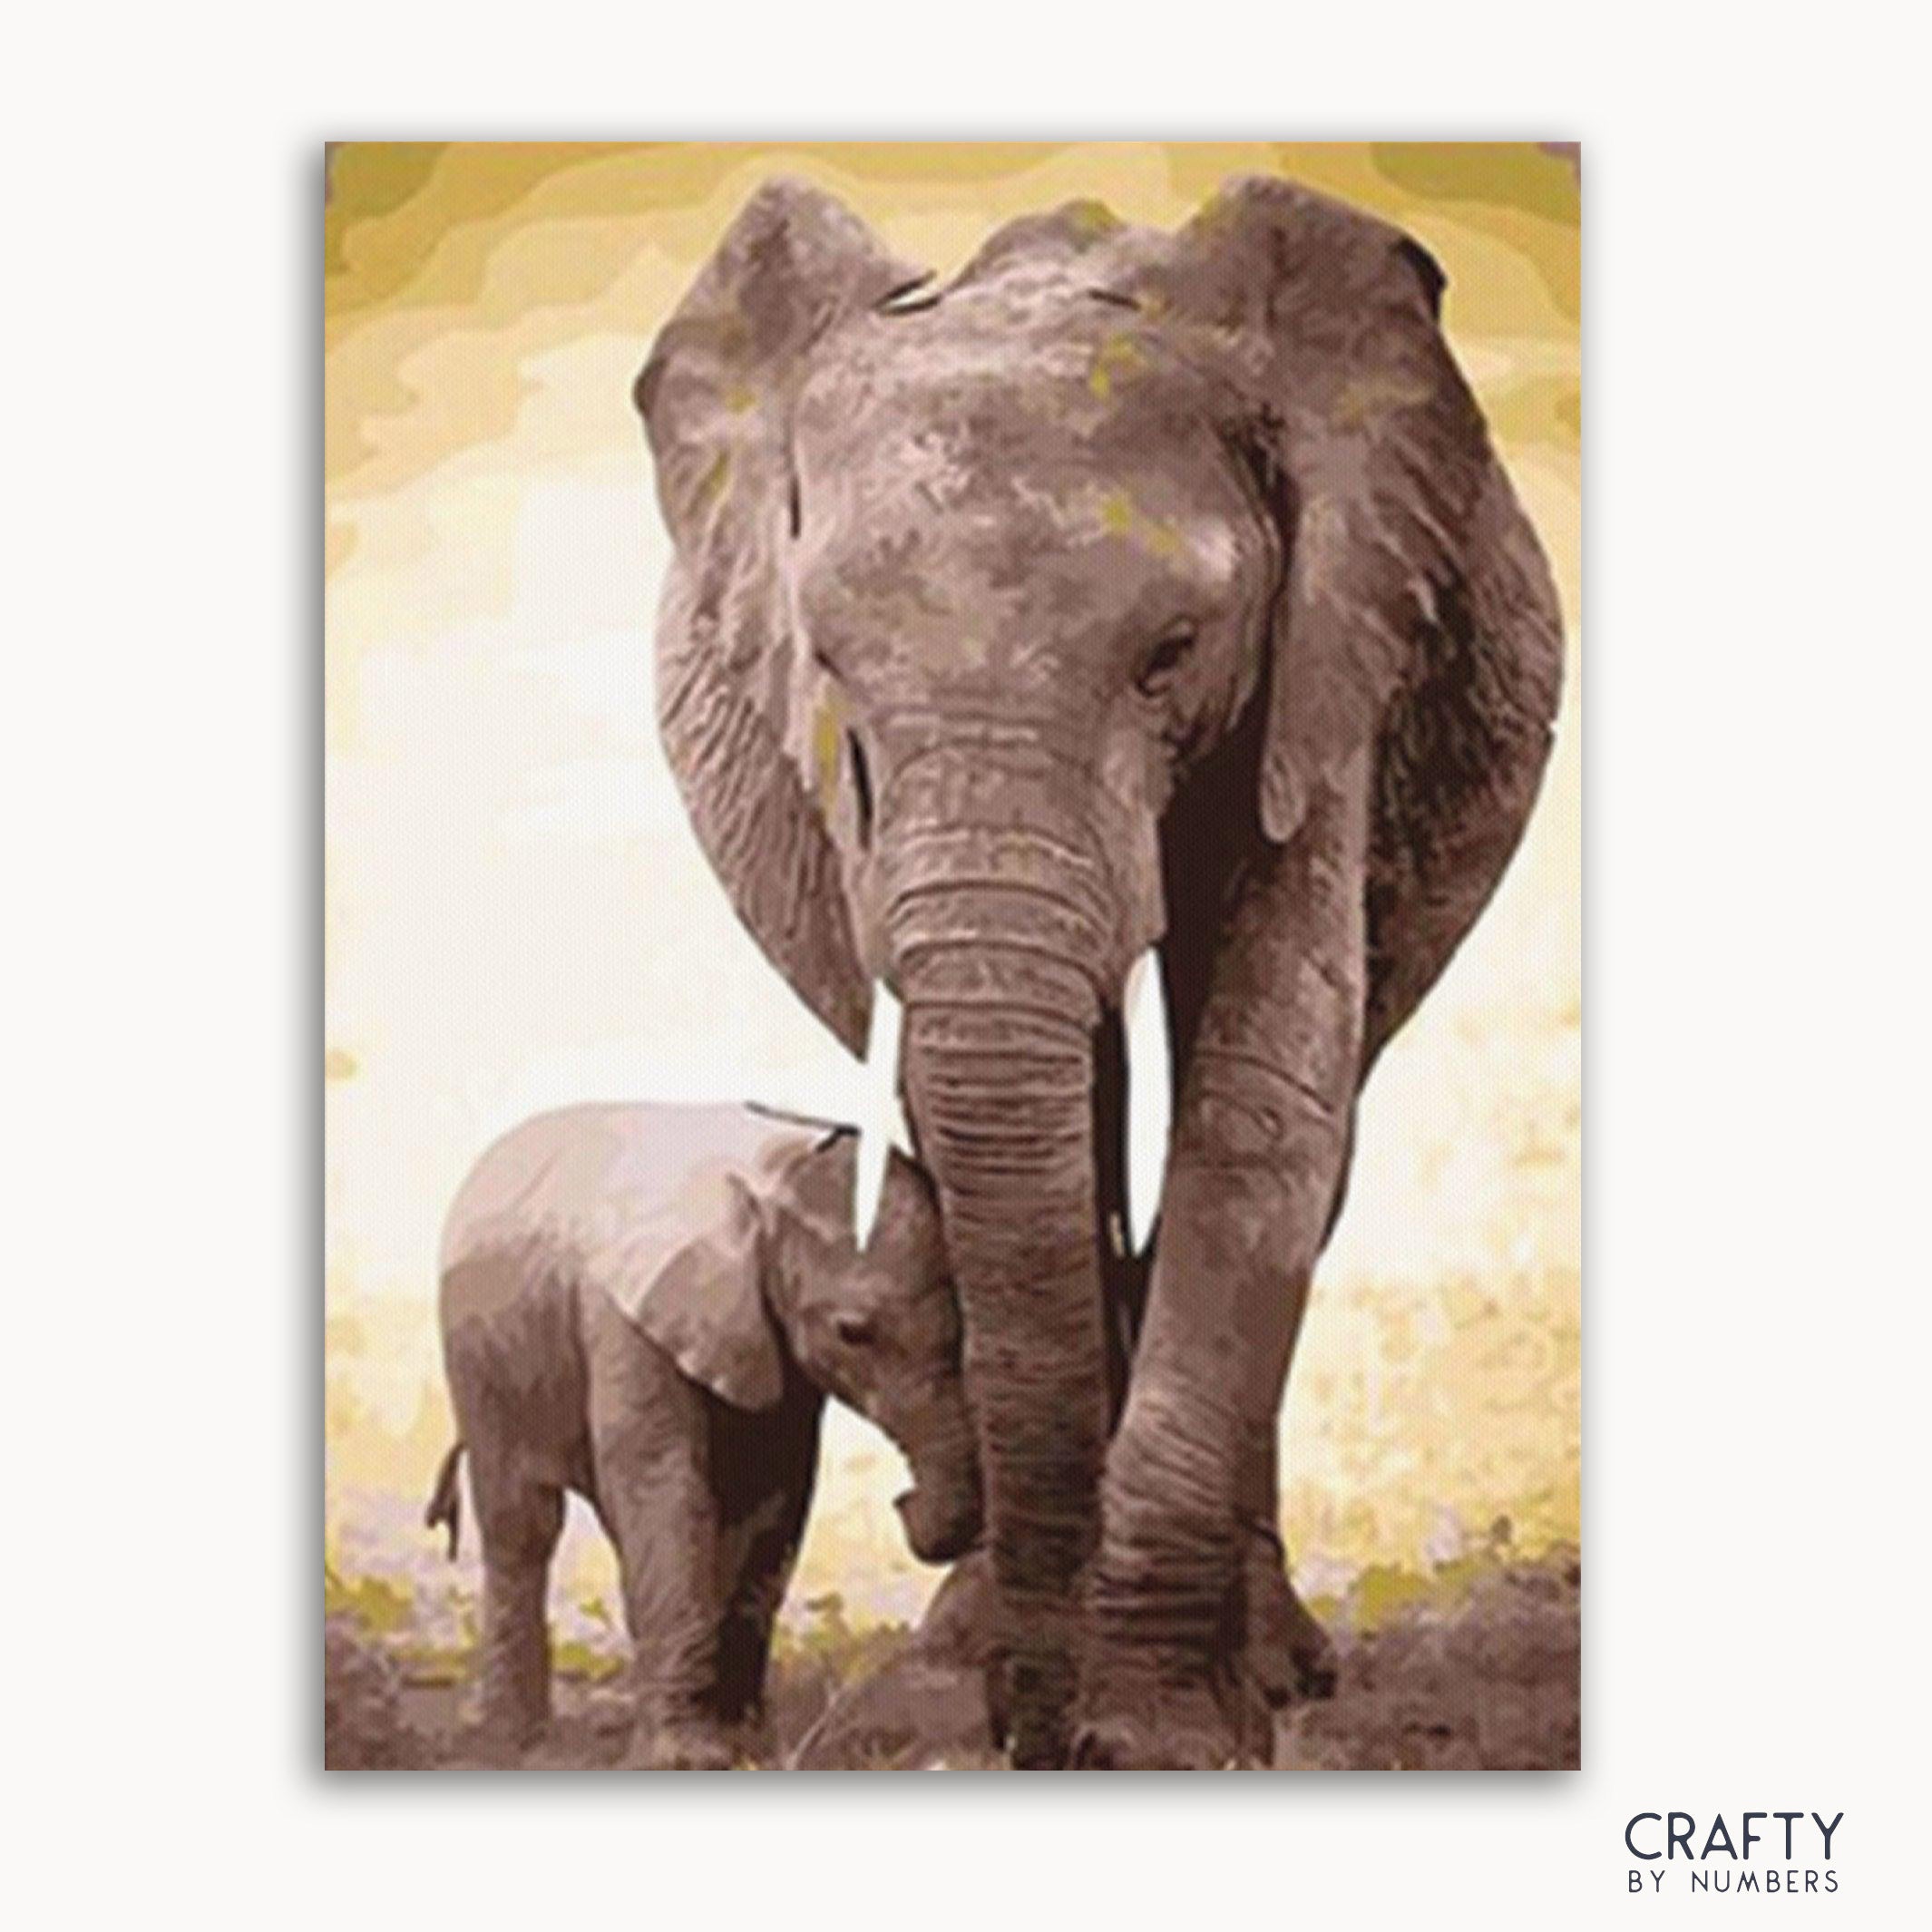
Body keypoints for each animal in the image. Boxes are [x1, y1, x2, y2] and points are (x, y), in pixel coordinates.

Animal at [428, 1102, 980, 1768]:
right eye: (853, 1333)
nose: (904, 1501)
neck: (773, 1178)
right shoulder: (627, 1320)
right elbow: (662, 1481)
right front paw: (687, 1758)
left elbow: (774, 1494)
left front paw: (744, 1743)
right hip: (476, 1355)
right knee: (523, 1524)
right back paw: (516, 1740)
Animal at [634, 176, 1563, 1767]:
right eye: (830, 668)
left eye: (1170, 654)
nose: (1032, 1726)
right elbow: (999, 1127)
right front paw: (1033, 1686)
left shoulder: (1328, 662)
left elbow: (1257, 1106)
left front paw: (1158, 1732)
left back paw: (1274, 1662)